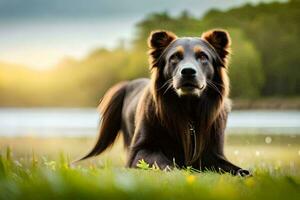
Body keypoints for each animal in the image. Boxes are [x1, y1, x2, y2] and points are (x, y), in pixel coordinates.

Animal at [78, 28, 251, 176]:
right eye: (174, 57)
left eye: (203, 57)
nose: (188, 72)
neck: (189, 109)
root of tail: (129, 84)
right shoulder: (139, 150)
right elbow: (162, 161)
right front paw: (176, 169)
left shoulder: (212, 152)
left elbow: (232, 167)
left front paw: (243, 172)